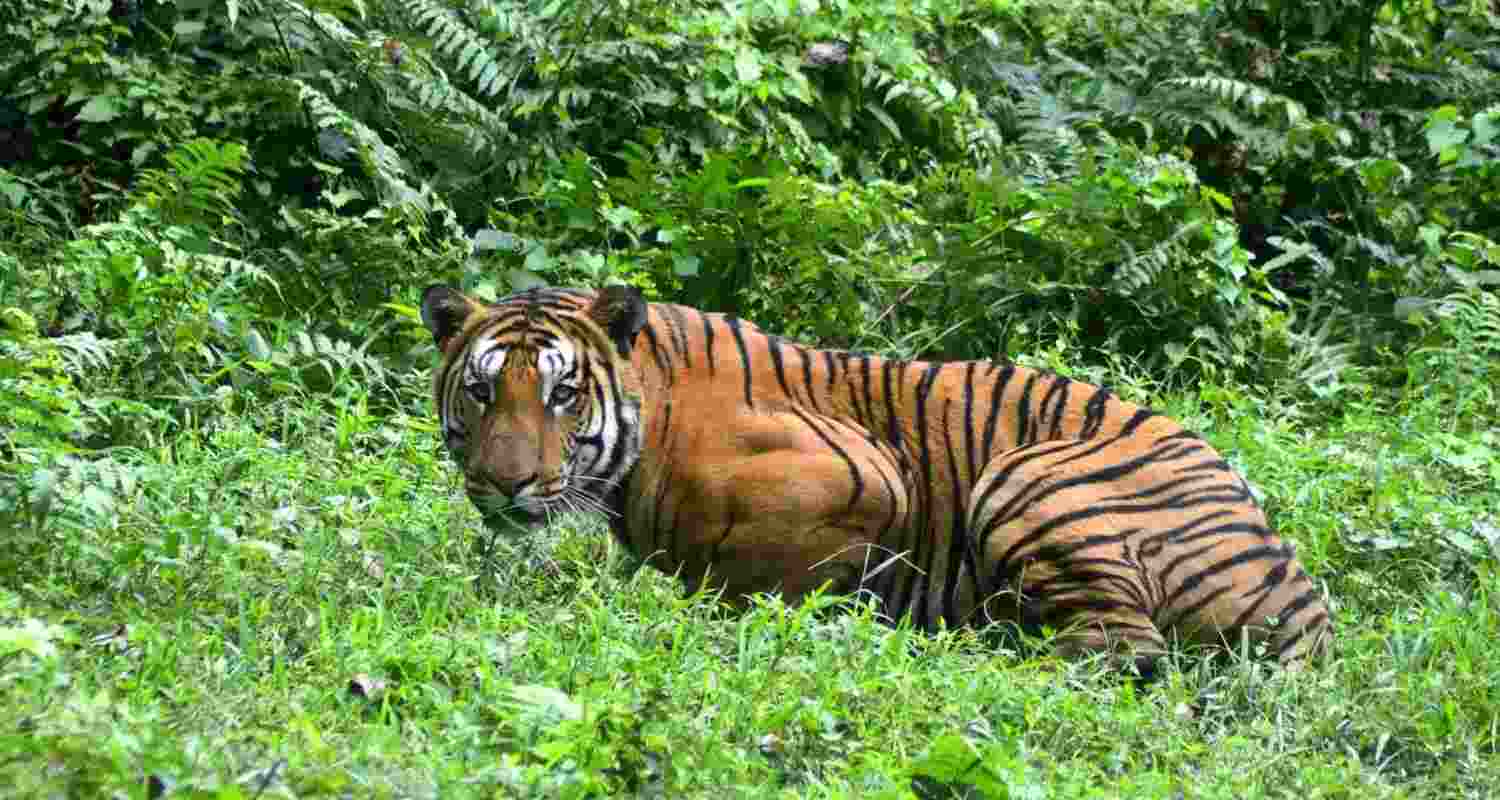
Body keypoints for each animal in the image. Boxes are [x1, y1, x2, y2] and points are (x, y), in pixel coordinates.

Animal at [420, 283, 1332, 676]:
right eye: (482, 390)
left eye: (562, 394)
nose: (505, 484)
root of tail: (1303, 600)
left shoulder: (867, 477)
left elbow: (756, 574)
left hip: (1027, 476)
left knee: (1122, 653)